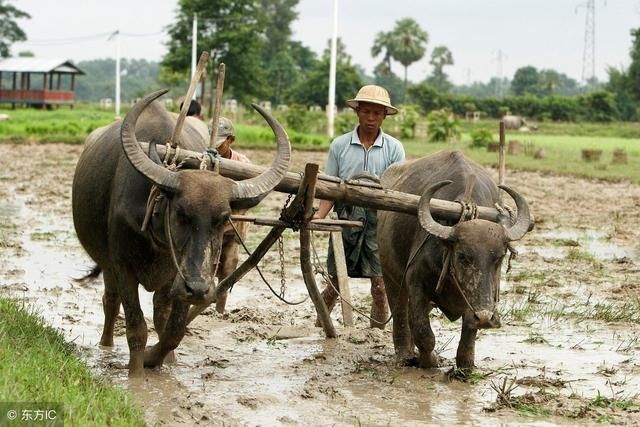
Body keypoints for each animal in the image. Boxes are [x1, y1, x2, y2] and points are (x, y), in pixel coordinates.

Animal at [72, 88, 290, 376]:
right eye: (180, 213)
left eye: (224, 218)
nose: (197, 288)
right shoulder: (122, 266)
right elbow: (136, 328)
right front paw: (137, 374)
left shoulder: (182, 275)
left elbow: (173, 331)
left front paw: (158, 360)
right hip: (109, 266)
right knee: (110, 302)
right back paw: (105, 347)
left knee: (159, 312)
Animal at [378, 151, 532, 372]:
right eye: (462, 256)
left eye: (500, 257)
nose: (486, 317)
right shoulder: (415, 282)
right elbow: (422, 330)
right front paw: (429, 361)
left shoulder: (475, 298)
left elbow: (469, 327)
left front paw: (465, 365)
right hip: (391, 274)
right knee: (399, 311)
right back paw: (404, 354)